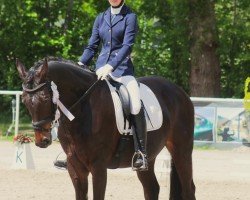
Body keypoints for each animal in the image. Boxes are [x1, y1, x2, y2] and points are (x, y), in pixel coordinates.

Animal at [16, 57, 196, 199]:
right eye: (24, 99)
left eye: (45, 98)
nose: (42, 140)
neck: (82, 109)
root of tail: (179, 91)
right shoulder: (75, 167)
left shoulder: (99, 166)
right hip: (149, 158)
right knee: (152, 189)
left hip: (181, 150)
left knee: (189, 189)